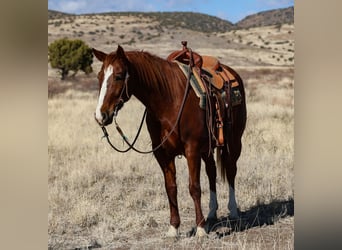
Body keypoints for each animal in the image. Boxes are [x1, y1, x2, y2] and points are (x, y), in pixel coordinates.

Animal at [91, 46, 246, 237]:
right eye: (99, 76)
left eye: (119, 76)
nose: (101, 116)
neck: (169, 100)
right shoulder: (162, 153)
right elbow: (170, 187)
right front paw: (173, 227)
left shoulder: (192, 149)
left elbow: (194, 187)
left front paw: (200, 229)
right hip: (207, 148)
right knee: (211, 172)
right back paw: (211, 212)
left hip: (234, 141)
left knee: (231, 171)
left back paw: (233, 210)